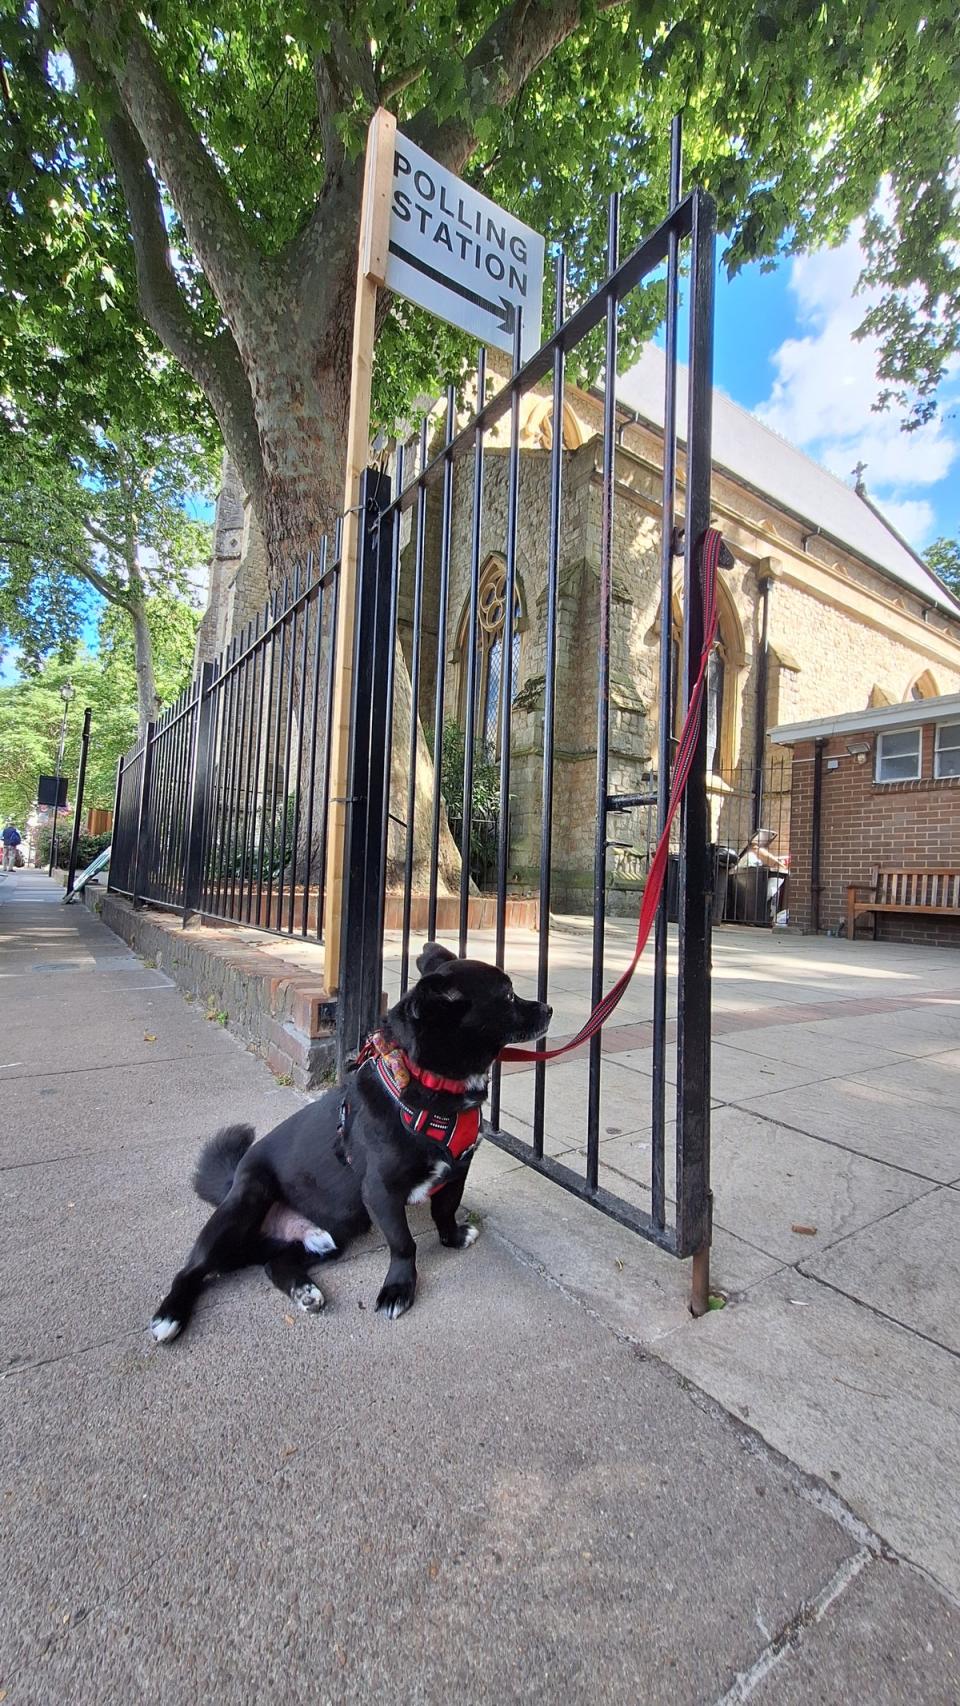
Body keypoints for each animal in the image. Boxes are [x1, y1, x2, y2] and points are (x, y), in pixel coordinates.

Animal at [151, 941, 555, 1337]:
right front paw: (398, 1289)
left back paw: (305, 1290)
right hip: (245, 1204)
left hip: (334, 1232)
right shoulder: (380, 1192)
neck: (431, 1086)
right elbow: (404, 1244)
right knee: (192, 1270)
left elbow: (444, 1211)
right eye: (508, 995)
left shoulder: (456, 1172)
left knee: (274, 1264)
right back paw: (169, 1315)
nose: (549, 1008)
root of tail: (233, 1183)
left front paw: (452, 1238)